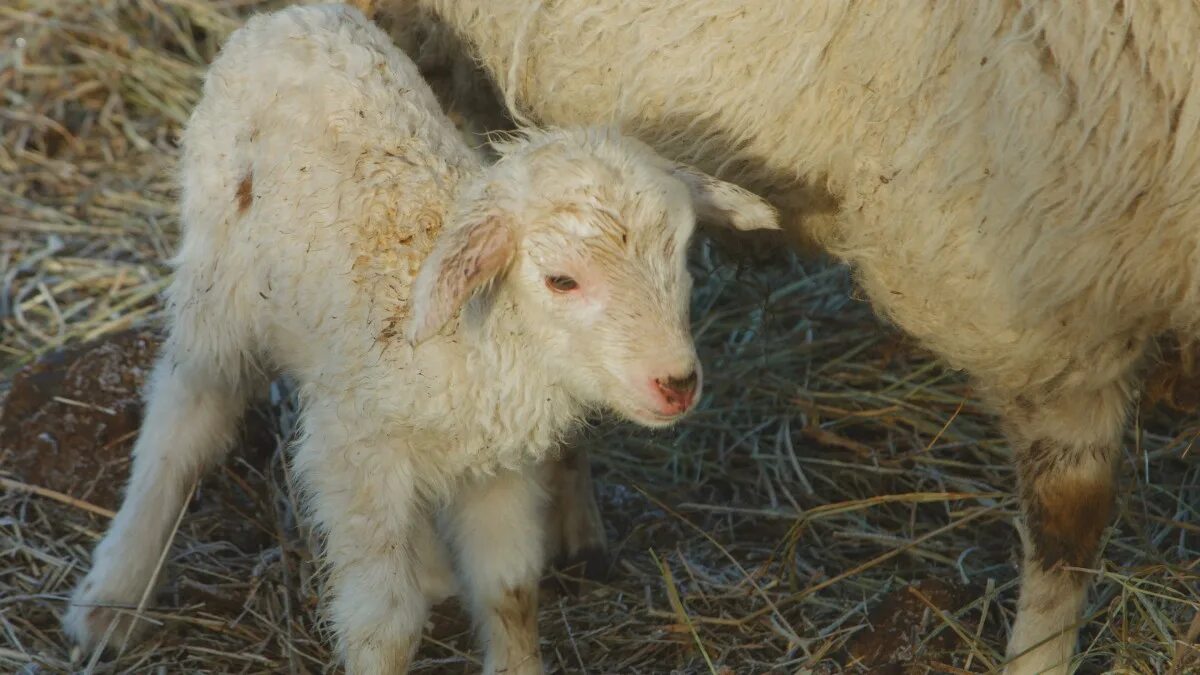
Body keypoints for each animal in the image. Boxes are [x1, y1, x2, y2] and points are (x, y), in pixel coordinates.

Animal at [63, 2, 777, 667]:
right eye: (561, 281)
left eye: (682, 259)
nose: (676, 383)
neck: (483, 343)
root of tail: (290, 17)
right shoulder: (355, 459)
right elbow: (384, 624)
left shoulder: (499, 469)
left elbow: (511, 590)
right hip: (219, 281)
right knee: (184, 422)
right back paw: (111, 599)